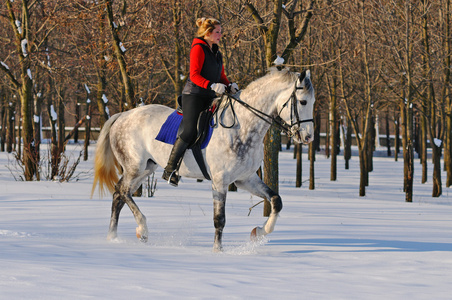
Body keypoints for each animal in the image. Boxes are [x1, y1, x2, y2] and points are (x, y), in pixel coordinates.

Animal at [92, 67, 316, 251]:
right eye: (303, 102)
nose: (308, 137)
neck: (243, 126)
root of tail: (123, 115)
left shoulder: (245, 179)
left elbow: (276, 201)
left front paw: (259, 232)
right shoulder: (220, 181)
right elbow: (220, 219)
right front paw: (218, 252)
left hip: (146, 168)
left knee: (119, 195)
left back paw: (113, 237)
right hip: (135, 167)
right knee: (123, 192)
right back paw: (142, 229)